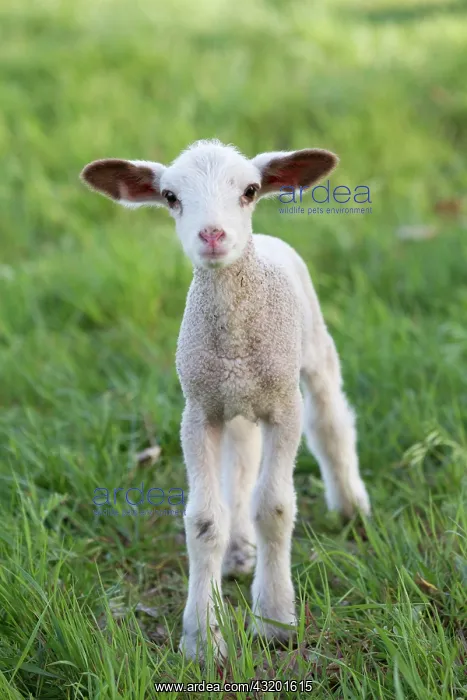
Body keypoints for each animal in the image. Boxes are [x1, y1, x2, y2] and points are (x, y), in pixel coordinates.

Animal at [81, 139, 371, 661]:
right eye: (170, 196)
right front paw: (202, 636)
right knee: (242, 459)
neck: (236, 336)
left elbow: (273, 508)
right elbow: (203, 522)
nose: (213, 234)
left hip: (313, 348)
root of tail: (268, 240)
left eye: (250, 190)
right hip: (235, 403)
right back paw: (239, 551)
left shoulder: (284, 408)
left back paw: (350, 505)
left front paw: (274, 620)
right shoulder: (199, 412)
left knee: (330, 420)